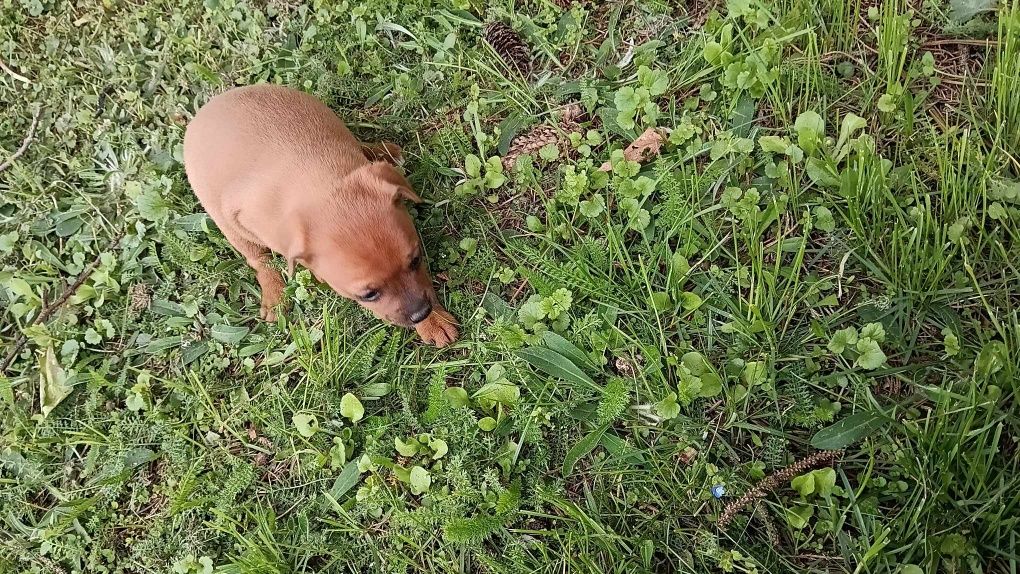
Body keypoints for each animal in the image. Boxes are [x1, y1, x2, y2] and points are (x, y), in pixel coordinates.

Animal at [181, 84, 456, 346]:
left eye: (416, 260)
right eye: (368, 295)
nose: (422, 313)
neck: (321, 183)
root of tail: (208, 107)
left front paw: (434, 321)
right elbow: (264, 259)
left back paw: (381, 150)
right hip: (227, 223)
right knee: (257, 258)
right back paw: (274, 293)